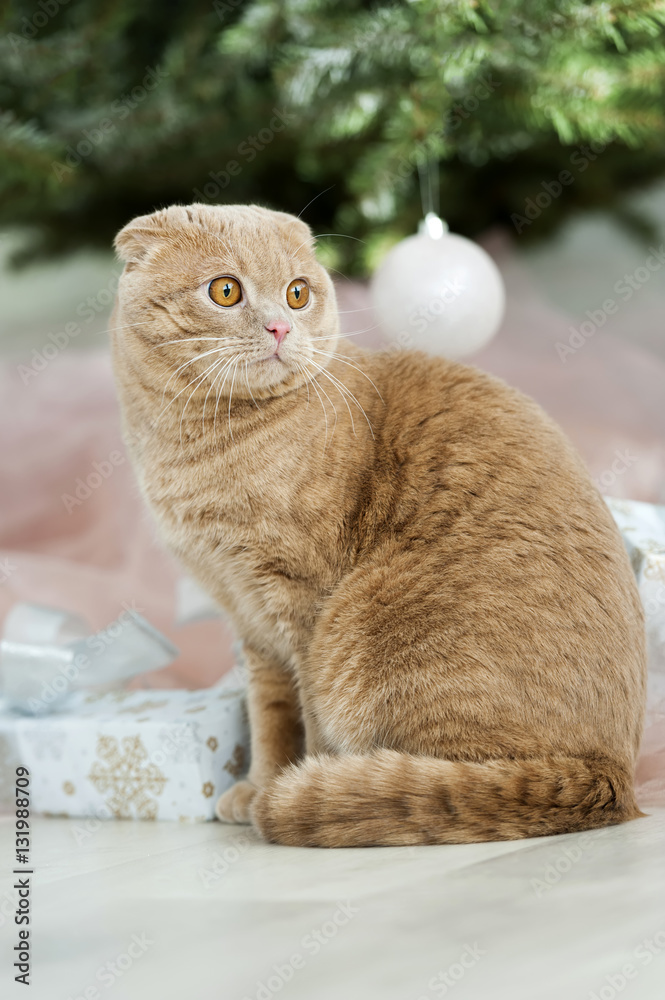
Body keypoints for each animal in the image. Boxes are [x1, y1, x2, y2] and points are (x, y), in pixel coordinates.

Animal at [111, 201, 644, 844]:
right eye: (226, 290)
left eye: (296, 293)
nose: (279, 327)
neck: (193, 448)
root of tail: (611, 776)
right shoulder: (249, 619)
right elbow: (270, 715)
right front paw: (262, 782)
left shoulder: (301, 605)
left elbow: (308, 714)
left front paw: (289, 784)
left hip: (364, 632)